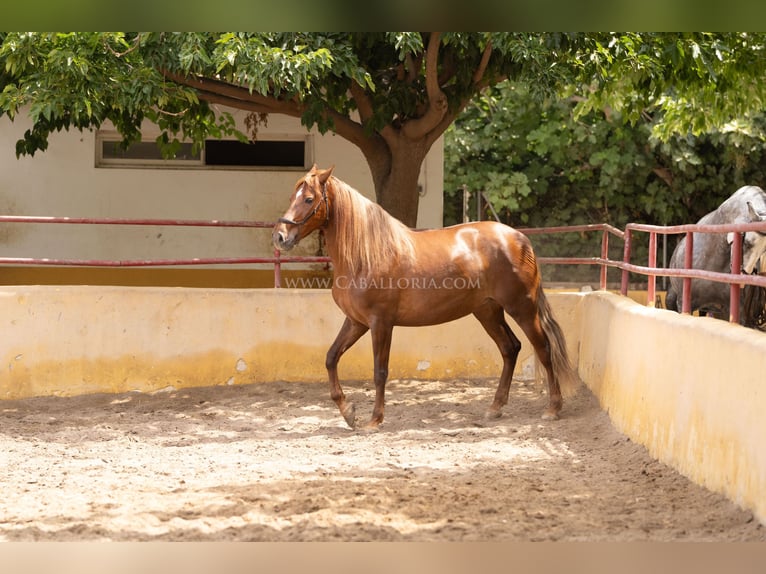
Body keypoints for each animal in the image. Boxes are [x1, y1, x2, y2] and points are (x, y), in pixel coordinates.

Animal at [272, 164, 580, 430]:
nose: (280, 237)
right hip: (487, 311)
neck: (366, 254)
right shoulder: (356, 322)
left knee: (543, 348)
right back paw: (495, 408)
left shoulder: (381, 323)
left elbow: (380, 372)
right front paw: (348, 412)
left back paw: (552, 408)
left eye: (309, 198)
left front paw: (374, 420)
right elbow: (331, 357)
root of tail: (519, 239)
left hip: (522, 308)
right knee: (510, 348)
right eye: (292, 196)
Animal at [664, 187, 766, 324]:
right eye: (747, 243)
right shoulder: (684, 304)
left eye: (763, 251)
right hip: (671, 300)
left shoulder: (736, 311)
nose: (743, 278)